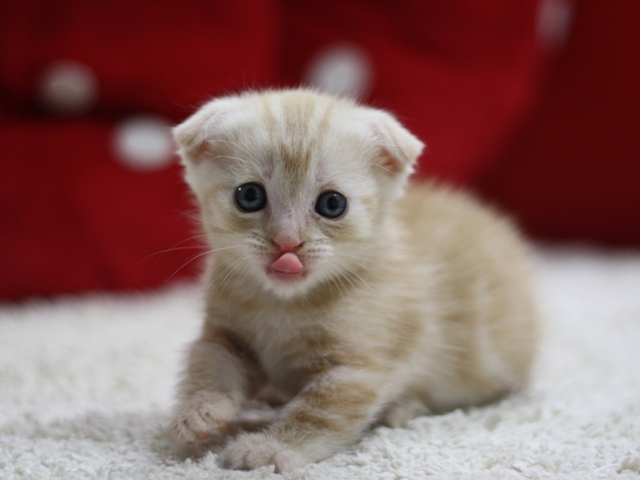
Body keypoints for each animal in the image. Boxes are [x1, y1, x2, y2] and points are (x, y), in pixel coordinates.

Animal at [168, 88, 536, 470]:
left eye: (332, 204)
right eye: (249, 195)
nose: (287, 243)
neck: (283, 303)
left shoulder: (355, 371)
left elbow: (317, 414)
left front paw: (268, 448)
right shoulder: (224, 336)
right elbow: (210, 364)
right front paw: (198, 411)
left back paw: (401, 408)